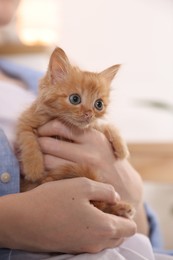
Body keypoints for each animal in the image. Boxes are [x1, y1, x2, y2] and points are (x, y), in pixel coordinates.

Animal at [16, 47, 135, 219]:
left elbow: (106, 126)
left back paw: (123, 208)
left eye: (99, 104)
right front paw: (34, 168)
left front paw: (121, 148)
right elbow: (29, 141)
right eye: (75, 99)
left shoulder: (92, 126)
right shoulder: (26, 121)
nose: (88, 114)